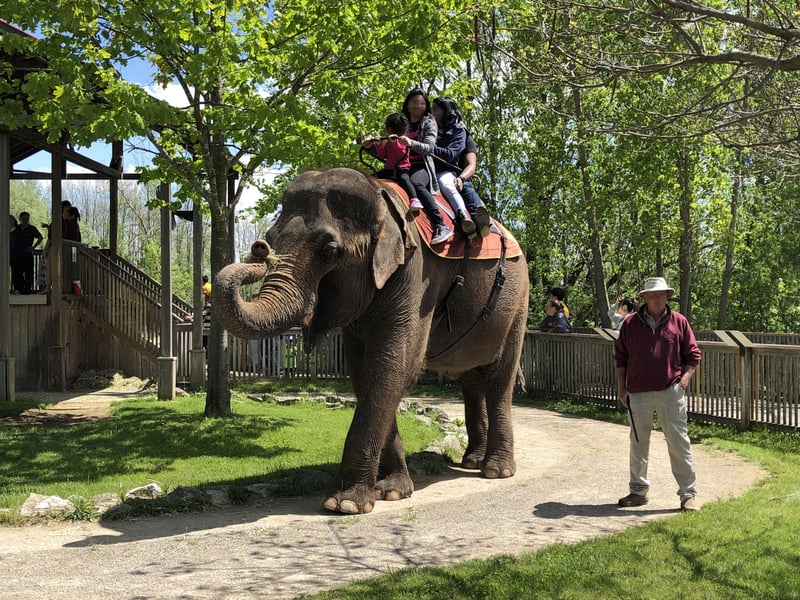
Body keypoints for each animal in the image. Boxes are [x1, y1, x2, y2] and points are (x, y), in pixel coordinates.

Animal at [212, 166, 528, 512]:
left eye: (330, 252)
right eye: (270, 239)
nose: (259, 249)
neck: (381, 199)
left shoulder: (417, 273)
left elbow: (393, 368)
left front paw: (345, 505)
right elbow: (364, 373)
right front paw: (392, 491)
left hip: (517, 302)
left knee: (499, 379)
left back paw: (496, 470)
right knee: (469, 379)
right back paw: (472, 461)